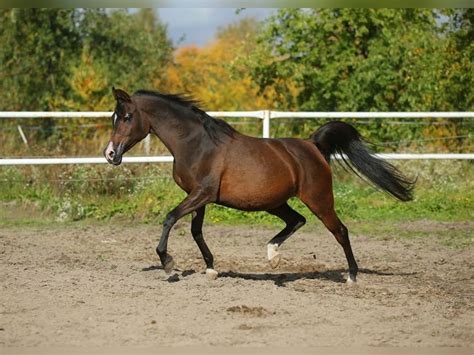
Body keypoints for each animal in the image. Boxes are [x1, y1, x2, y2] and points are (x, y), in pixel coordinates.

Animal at [103, 88, 414, 284]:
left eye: (127, 117)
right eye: (114, 118)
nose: (110, 154)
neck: (197, 144)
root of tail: (313, 146)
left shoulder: (201, 194)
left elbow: (169, 218)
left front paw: (167, 263)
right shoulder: (198, 197)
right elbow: (195, 231)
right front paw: (211, 269)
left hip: (319, 198)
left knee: (340, 230)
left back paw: (351, 276)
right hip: (276, 202)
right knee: (297, 221)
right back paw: (273, 256)